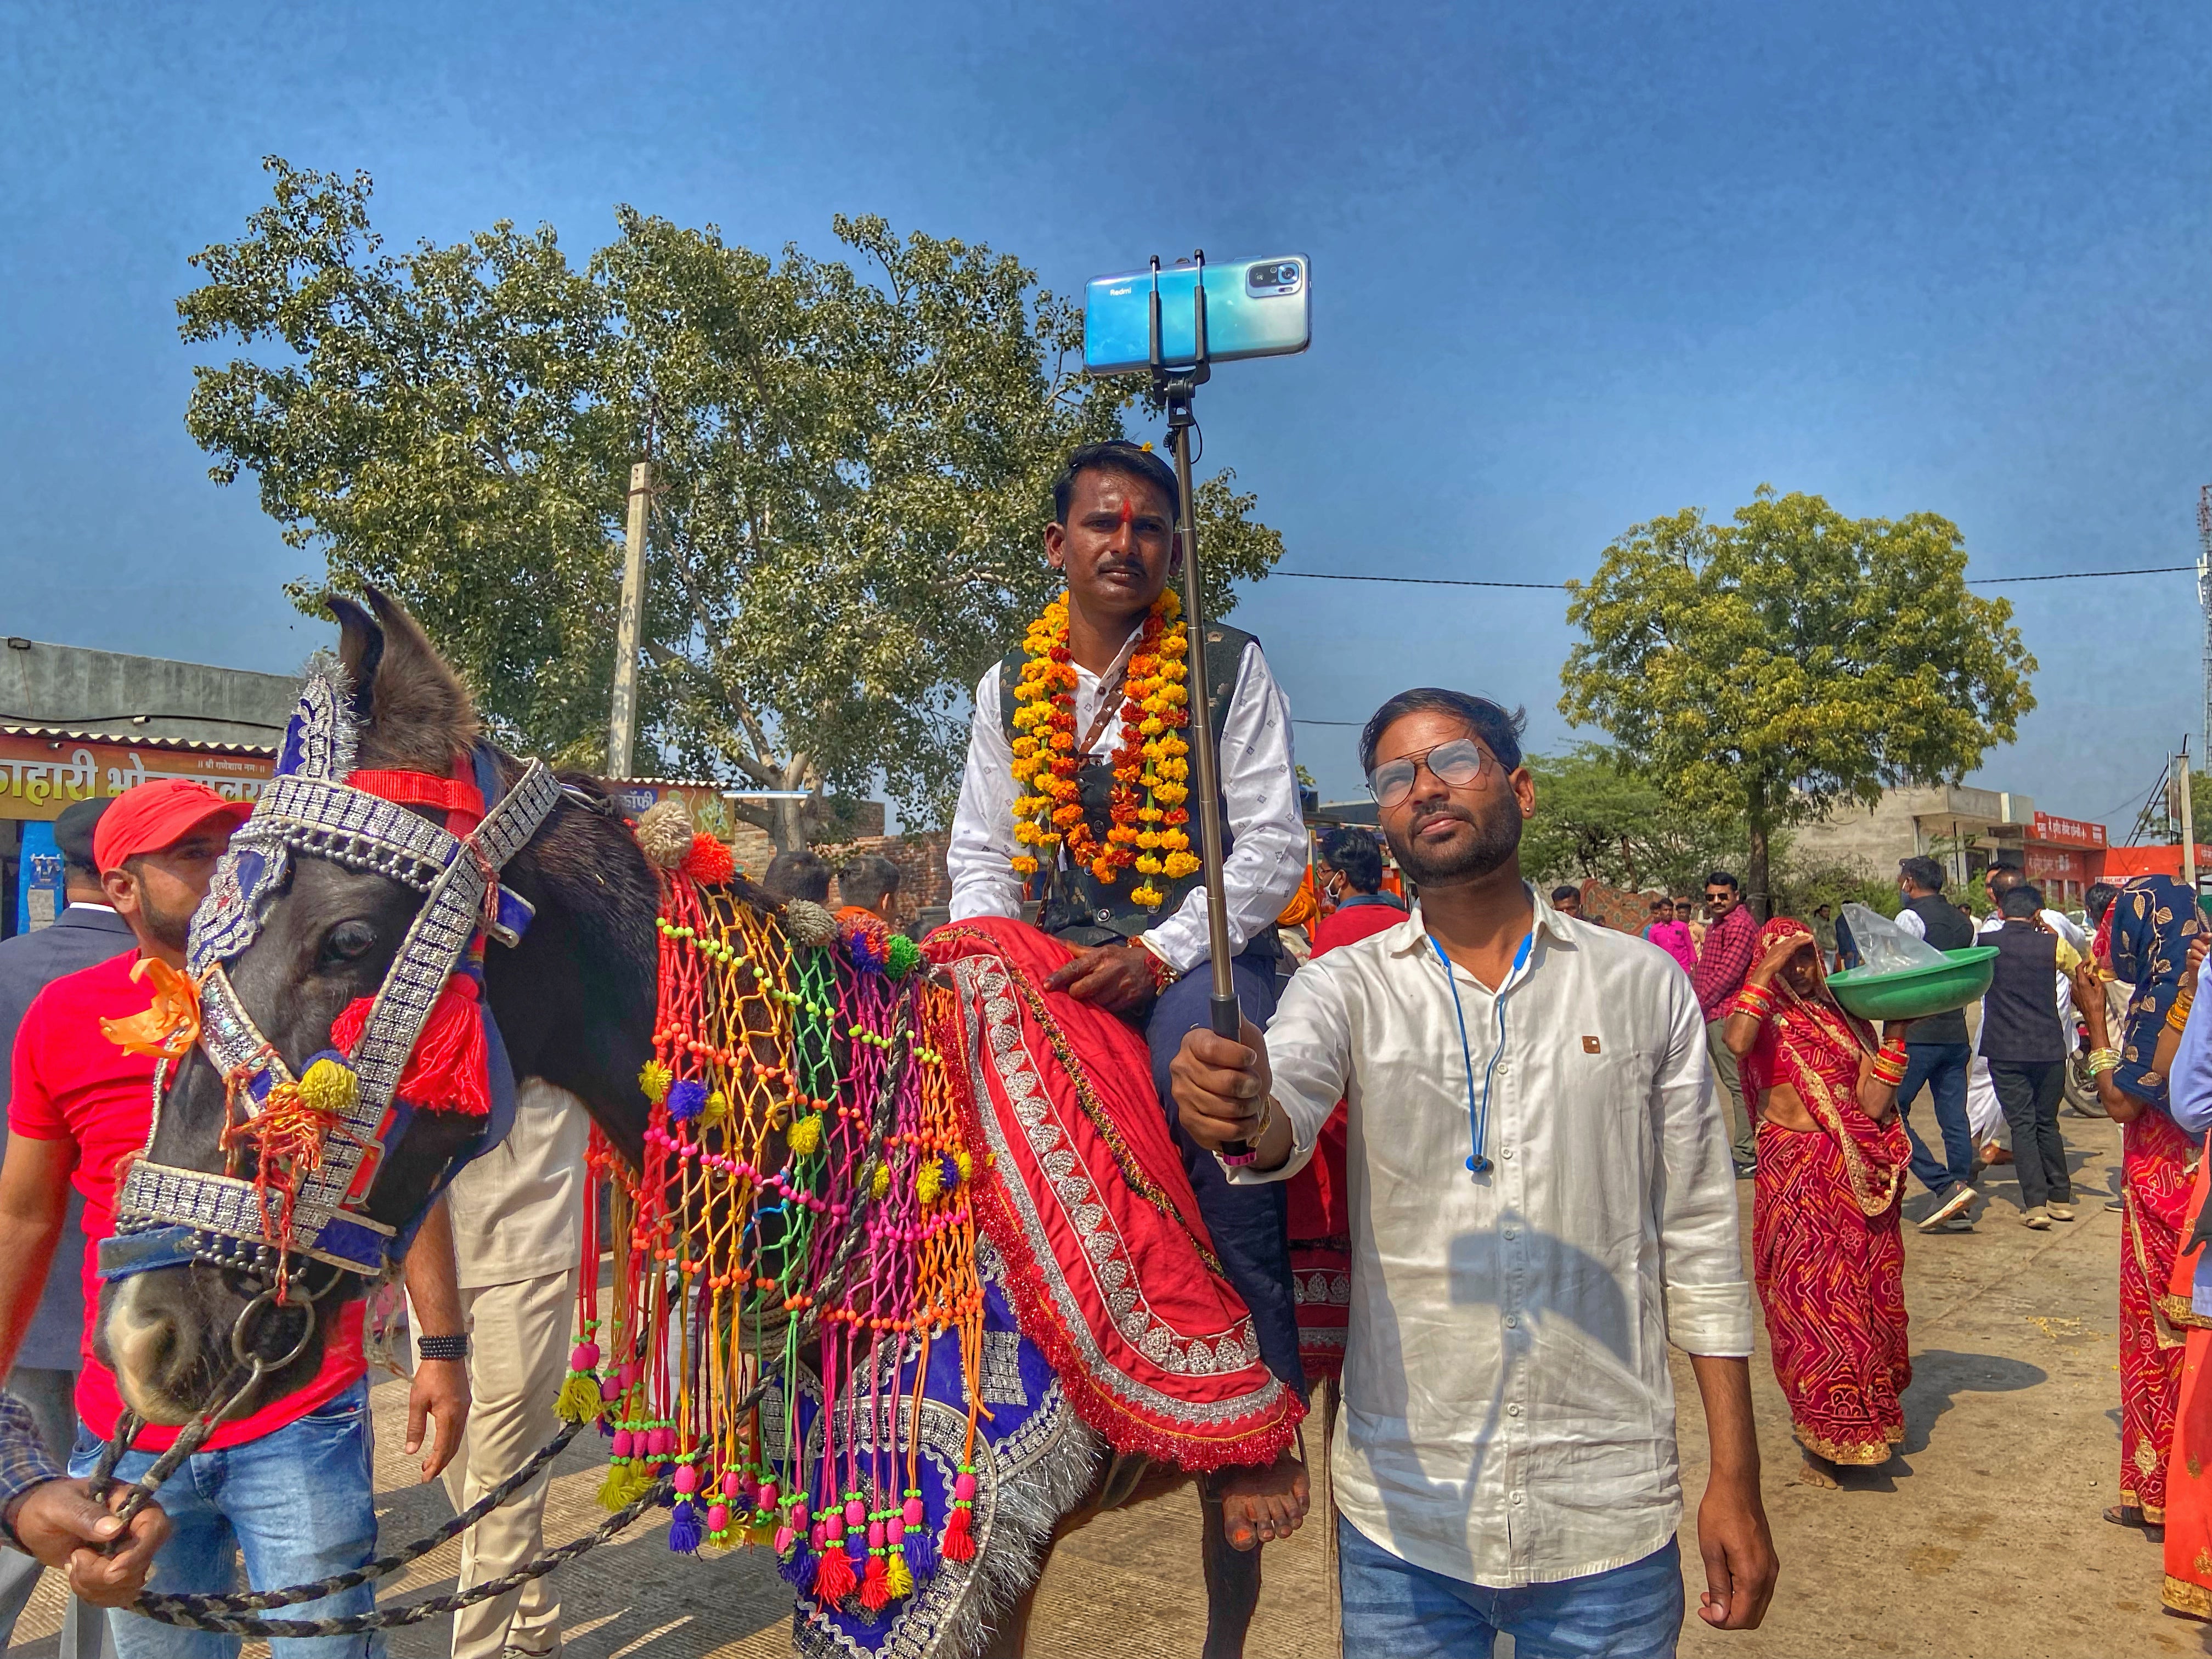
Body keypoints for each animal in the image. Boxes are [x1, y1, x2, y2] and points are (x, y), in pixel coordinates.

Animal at [95, 592, 1291, 1659]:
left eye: (347, 939)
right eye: (195, 937)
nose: (144, 1334)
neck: (877, 1162)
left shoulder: (983, 1535)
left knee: (1237, 1572)